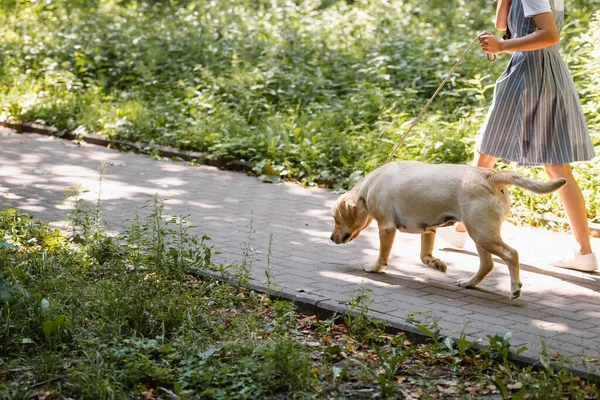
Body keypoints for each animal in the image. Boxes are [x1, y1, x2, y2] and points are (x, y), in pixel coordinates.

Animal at [330, 161, 564, 298]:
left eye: (334, 218)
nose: (331, 238)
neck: (368, 187)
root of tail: (490, 175)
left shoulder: (386, 228)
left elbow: (382, 254)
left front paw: (375, 267)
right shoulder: (428, 229)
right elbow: (424, 255)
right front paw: (436, 264)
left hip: (481, 233)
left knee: (511, 254)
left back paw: (514, 288)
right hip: (479, 233)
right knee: (487, 264)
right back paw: (469, 283)